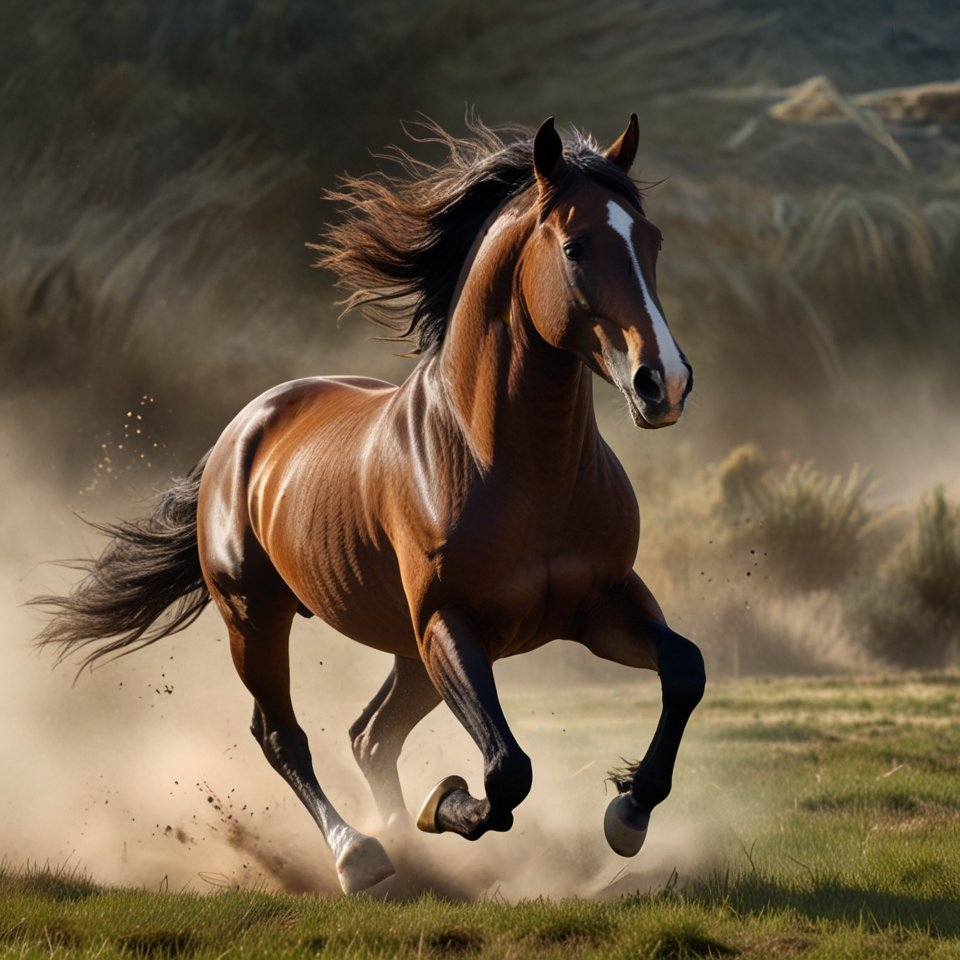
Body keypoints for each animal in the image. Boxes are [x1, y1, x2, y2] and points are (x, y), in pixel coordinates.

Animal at [34, 115, 705, 895]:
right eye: (575, 245)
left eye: (652, 240)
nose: (665, 383)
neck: (513, 466)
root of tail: (242, 432)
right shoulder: (449, 623)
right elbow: (506, 770)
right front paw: (444, 803)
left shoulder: (599, 603)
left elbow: (685, 670)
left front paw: (628, 813)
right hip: (258, 620)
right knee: (283, 736)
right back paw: (361, 853)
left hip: (405, 652)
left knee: (369, 736)